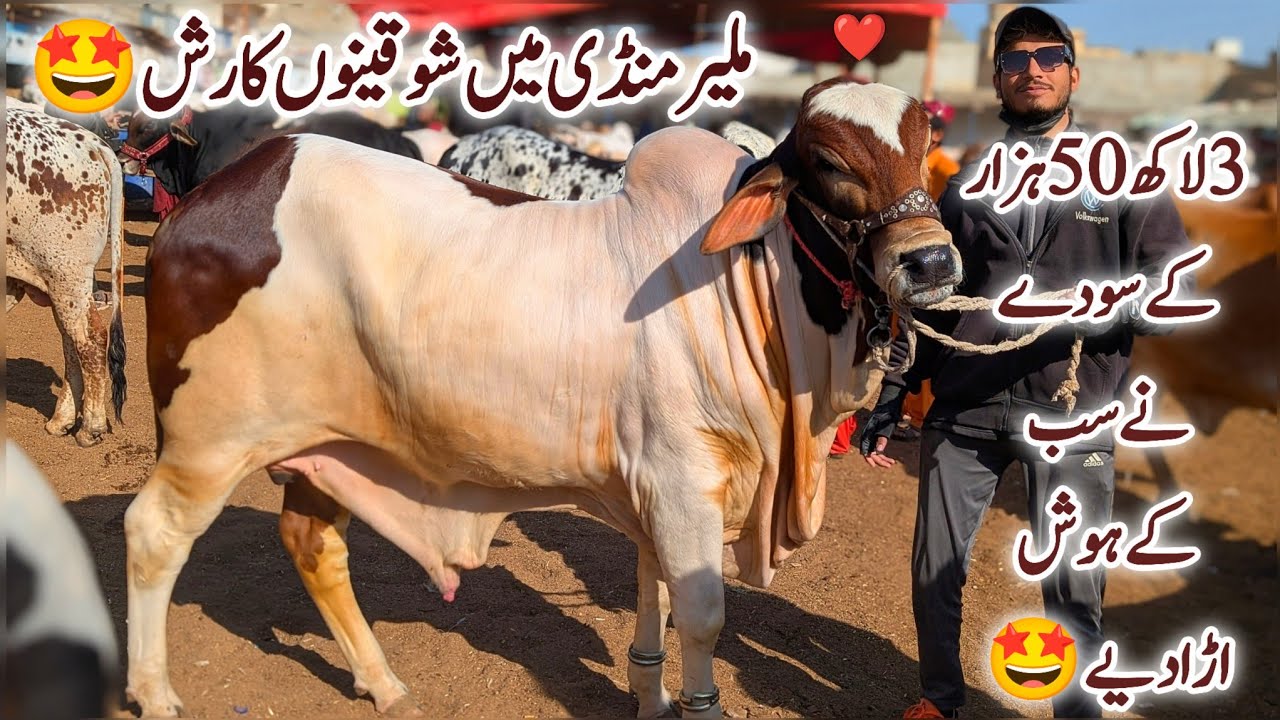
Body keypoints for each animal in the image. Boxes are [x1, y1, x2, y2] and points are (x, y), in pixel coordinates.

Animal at [6, 108, 126, 447]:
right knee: (71, 342)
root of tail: (93, 142)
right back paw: (62, 420)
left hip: (65, 272)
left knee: (90, 339)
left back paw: (91, 427)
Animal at [124, 79, 961, 718]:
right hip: (209, 439)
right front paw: (694, 703)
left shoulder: (655, 490)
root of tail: (202, 202)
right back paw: (156, 694)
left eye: (925, 147)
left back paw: (384, 683)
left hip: (326, 443)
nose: (930, 262)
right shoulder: (685, 480)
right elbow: (699, 616)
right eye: (828, 160)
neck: (746, 286)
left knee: (313, 545)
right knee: (153, 534)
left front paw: (648, 694)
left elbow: (653, 592)